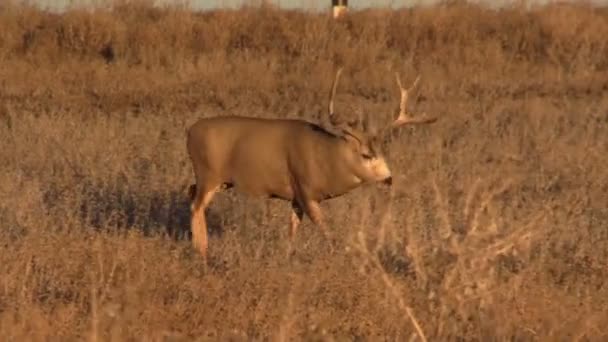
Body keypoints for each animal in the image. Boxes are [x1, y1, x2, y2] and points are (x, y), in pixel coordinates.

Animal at [185, 68, 436, 258]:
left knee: (192, 196)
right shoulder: (305, 190)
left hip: (216, 180)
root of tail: (190, 132)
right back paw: (202, 252)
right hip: (208, 174)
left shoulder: (296, 197)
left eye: (383, 151)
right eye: (366, 155)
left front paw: (287, 256)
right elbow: (326, 230)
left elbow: (292, 229)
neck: (327, 156)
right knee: (196, 207)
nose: (389, 178)